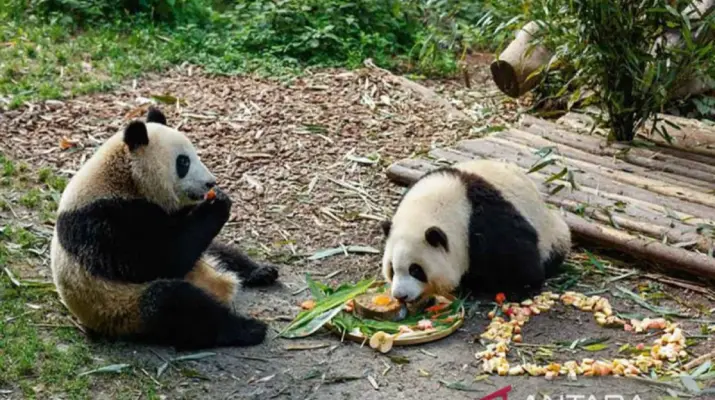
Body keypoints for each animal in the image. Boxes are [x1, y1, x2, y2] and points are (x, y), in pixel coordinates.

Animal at [50, 107, 279, 350]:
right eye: (183, 162)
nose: (210, 183)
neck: (122, 179)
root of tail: (222, 284)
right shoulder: (102, 222)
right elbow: (160, 259)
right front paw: (217, 203)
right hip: (123, 307)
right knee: (175, 305)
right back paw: (249, 328)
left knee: (221, 251)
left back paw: (260, 272)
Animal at [381, 159, 571, 304]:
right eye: (391, 269)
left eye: (416, 270)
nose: (400, 295)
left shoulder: (484, 220)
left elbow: (517, 253)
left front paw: (521, 288)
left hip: (552, 231)